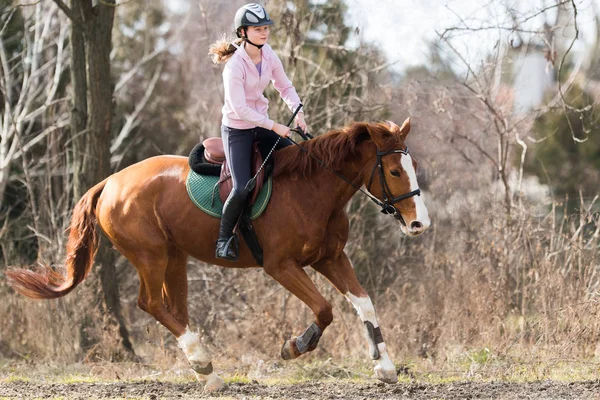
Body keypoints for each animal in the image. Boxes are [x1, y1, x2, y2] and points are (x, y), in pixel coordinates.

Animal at [5, 118, 426, 390]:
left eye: (413, 166)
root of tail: (110, 182)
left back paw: (207, 374)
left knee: (174, 310)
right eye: (393, 171)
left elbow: (364, 303)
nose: (418, 224)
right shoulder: (281, 266)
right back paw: (203, 362)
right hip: (151, 256)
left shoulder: (331, 258)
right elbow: (324, 309)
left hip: (175, 258)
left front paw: (385, 368)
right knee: (151, 304)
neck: (313, 189)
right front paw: (295, 347)